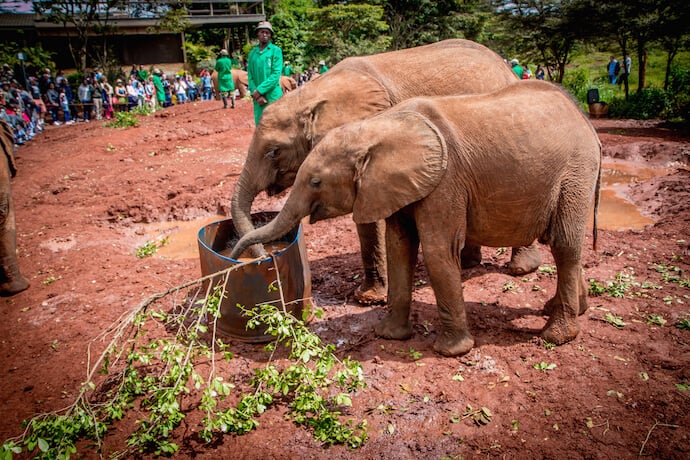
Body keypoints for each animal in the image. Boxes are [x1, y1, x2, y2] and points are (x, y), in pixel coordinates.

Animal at [228, 38, 540, 306]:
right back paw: (467, 263)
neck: (313, 94)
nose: (261, 261)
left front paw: (370, 300)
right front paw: (367, 296)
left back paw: (521, 269)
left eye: (273, 151)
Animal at [228, 81, 600, 358]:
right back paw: (567, 308)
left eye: (316, 182)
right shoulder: (395, 186)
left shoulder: (446, 181)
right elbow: (399, 247)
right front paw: (388, 335)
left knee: (565, 245)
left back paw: (557, 336)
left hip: (576, 171)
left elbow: (437, 251)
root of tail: (585, 121)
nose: (252, 259)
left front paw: (451, 352)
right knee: (563, 242)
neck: (377, 128)